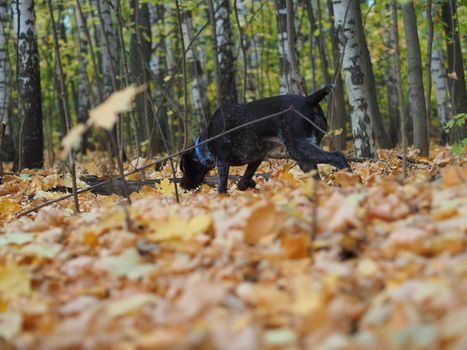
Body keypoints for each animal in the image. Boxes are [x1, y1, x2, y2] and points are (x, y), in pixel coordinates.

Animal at [181, 85, 352, 194]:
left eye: (183, 168)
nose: (182, 185)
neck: (206, 140)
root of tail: (309, 99)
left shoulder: (222, 162)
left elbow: (222, 188)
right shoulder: (256, 157)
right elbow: (243, 181)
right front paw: (250, 184)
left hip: (299, 148)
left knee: (337, 156)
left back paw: (352, 181)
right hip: (303, 156)